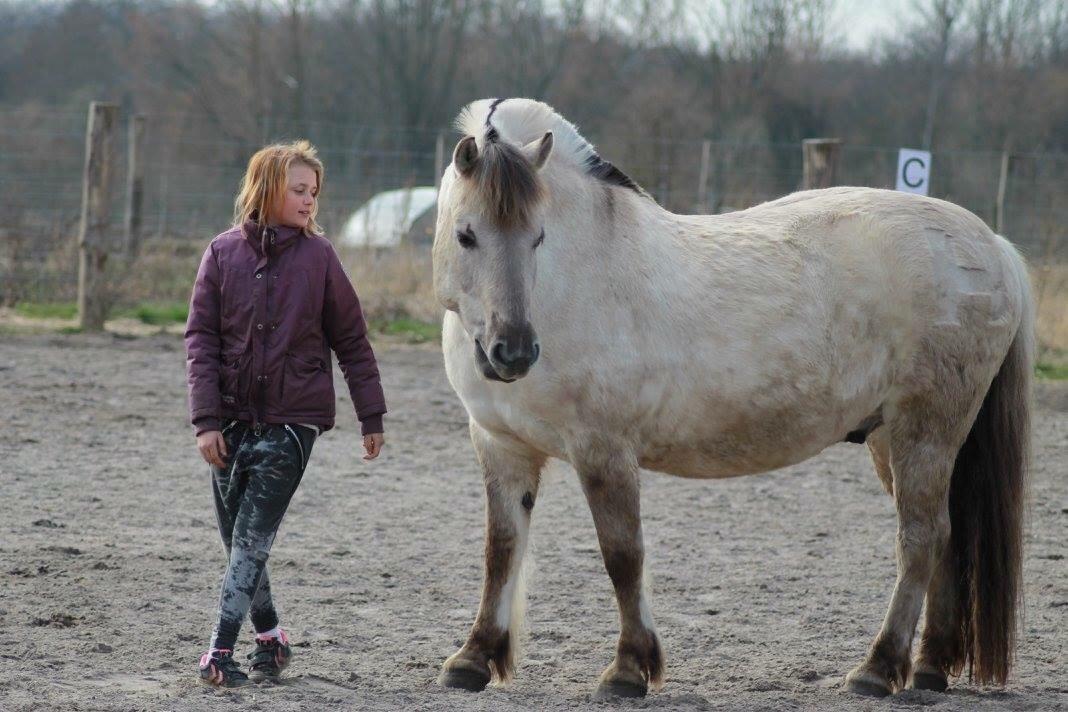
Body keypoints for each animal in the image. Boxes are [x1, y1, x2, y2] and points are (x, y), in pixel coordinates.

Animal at [429, 96, 1029, 700]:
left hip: (924, 432)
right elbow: (501, 550)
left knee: (921, 539)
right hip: (892, 439)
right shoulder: (502, 445)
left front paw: (628, 668)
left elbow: (623, 554)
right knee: (947, 539)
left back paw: (878, 669)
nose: (512, 352)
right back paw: (929, 667)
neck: (571, 282)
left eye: (539, 237)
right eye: (466, 235)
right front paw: (473, 659)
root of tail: (993, 245)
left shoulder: (603, 449)